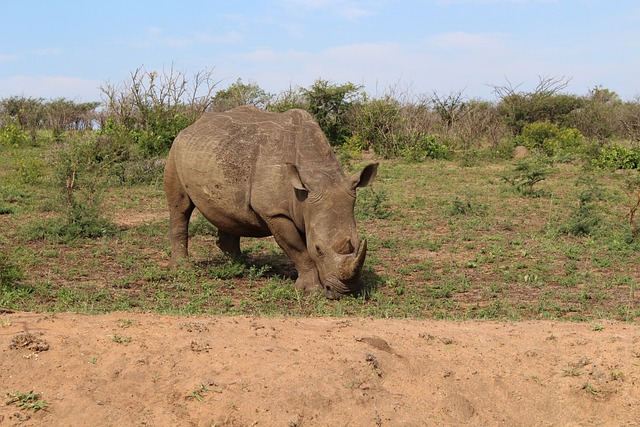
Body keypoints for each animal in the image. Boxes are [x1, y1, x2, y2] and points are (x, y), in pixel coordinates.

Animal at [163, 105, 378, 299]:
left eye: (359, 243)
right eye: (318, 248)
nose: (345, 292)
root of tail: (191, 127)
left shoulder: (305, 209)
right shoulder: (274, 212)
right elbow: (298, 249)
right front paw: (311, 290)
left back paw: (239, 265)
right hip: (175, 150)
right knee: (180, 208)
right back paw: (182, 268)